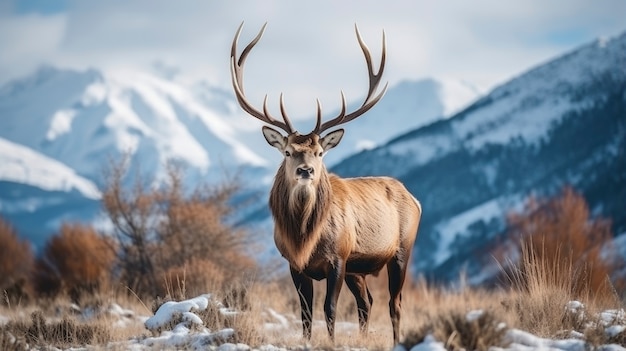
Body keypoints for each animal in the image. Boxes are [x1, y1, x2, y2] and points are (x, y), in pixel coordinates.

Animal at [229, 22, 420, 344]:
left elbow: (329, 309)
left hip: (401, 250)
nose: (306, 170)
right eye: (288, 151)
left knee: (394, 303)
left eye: (319, 152)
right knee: (366, 302)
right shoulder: (294, 264)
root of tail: (414, 198)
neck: (306, 237)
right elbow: (305, 313)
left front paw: (331, 341)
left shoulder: (338, 258)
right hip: (358, 268)